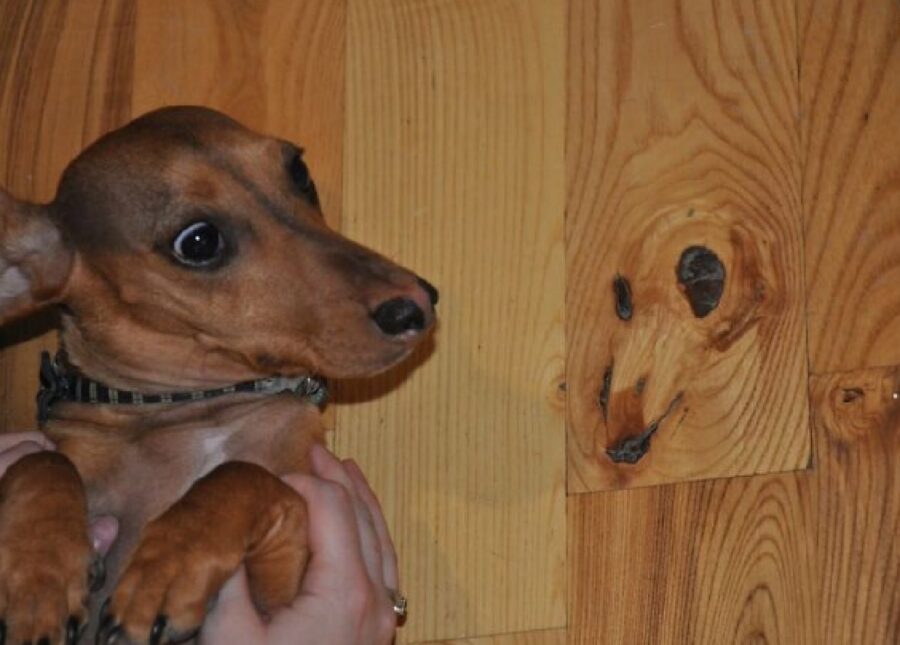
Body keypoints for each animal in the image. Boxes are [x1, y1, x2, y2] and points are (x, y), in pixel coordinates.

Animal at [0, 107, 438, 644]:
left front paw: (167, 568)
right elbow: (39, 460)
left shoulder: (286, 573)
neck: (198, 408)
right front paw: (39, 574)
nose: (417, 306)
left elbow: (240, 474)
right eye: (199, 241)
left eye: (298, 170)